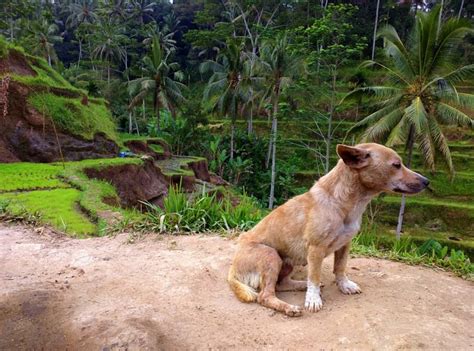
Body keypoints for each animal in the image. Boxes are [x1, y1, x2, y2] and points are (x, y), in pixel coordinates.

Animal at [228, 142, 428, 318]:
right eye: (397, 165)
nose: (427, 181)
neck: (341, 203)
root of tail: (232, 270)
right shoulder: (315, 249)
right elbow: (315, 277)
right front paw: (313, 299)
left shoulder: (345, 245)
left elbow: (340, 268)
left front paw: (344, 285)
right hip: (271, 255)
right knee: (265, 296)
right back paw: (290, 307)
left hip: (288, 262)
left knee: (280, 284)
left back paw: (301, 285)